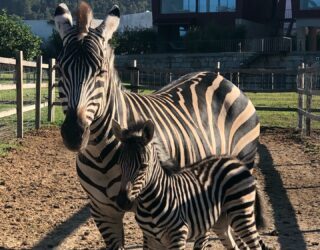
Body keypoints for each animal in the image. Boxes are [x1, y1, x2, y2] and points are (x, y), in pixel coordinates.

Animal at [112, 120, 270, 249]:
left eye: (143, 166)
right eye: (119, 164)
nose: (122, 201)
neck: (149, 203)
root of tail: (236, 161)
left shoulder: (178, 235)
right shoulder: (149, 239)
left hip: (242, 215)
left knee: (255, 245)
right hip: (222, 221)